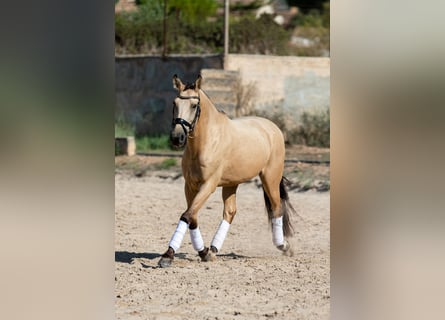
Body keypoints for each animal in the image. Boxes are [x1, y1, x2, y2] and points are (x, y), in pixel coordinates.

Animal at [158, 75, 294, 268]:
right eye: (174, 103)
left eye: (194, 105)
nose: (177, 138)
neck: (206, 141)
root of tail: (272, 128)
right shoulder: (190, 185)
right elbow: (192, 216)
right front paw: (203, 252)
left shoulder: (208, 185)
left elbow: (186, 215)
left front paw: (167, 256)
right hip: (232, 183)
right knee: (230, 212)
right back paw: (213, 249)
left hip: (270, 178)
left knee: (276, 207)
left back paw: (283, 246)